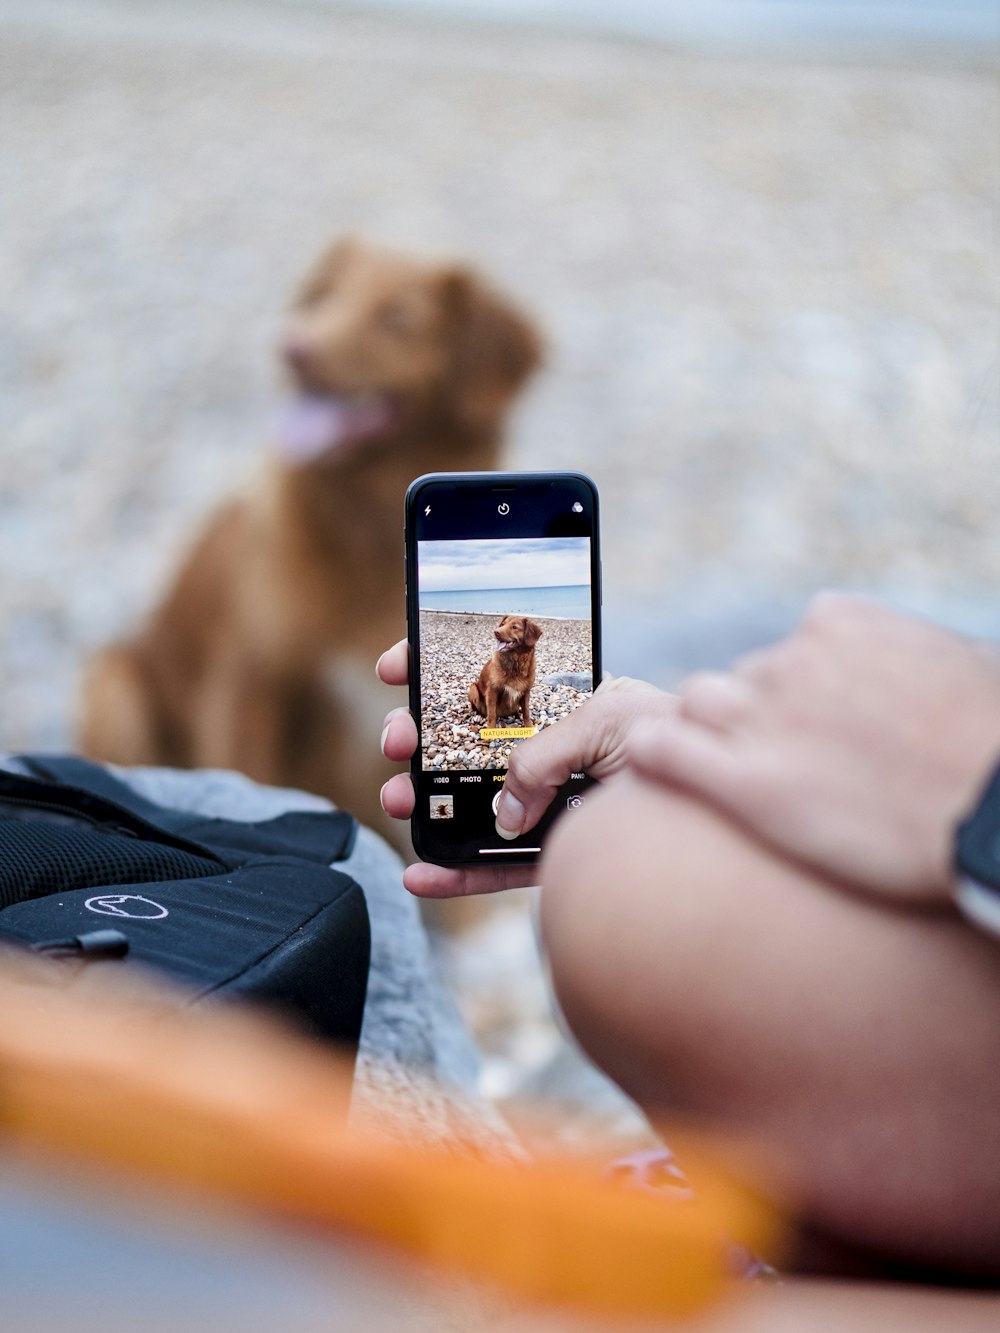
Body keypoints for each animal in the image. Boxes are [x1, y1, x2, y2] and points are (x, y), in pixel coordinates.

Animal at [79, 238, 544, 842]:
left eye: (398, 318)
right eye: (324, 299)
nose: (293, 347)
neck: (363, 528)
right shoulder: (251, 684)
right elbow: (248, 777)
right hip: (113, 687)